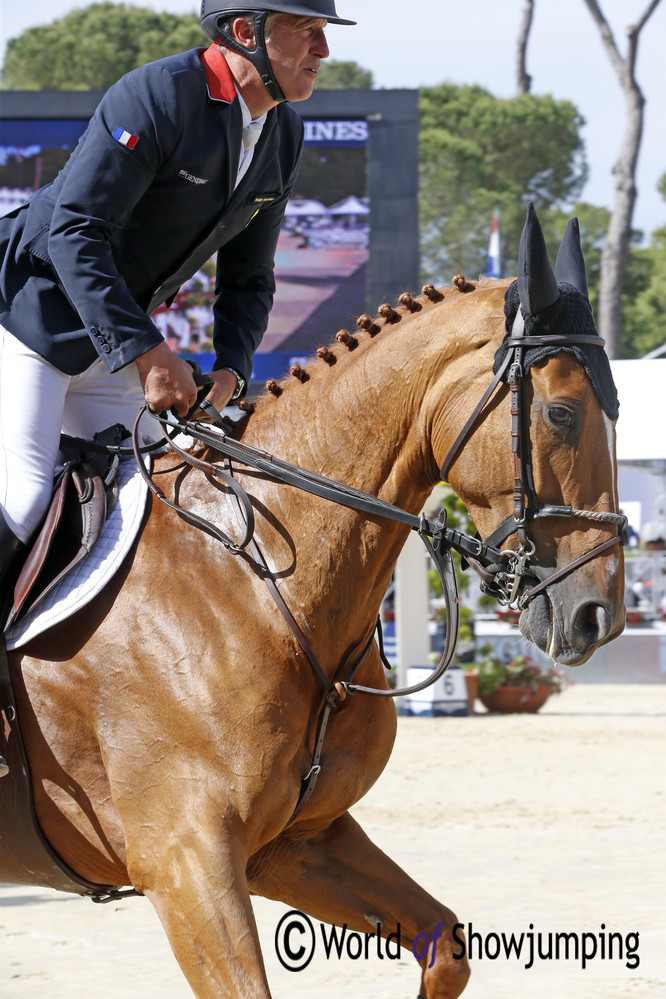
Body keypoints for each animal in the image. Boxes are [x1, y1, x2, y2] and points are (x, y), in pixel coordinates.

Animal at [1, 207, 624, 996]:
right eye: (563, 413)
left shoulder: (294, 842)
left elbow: (445, 944)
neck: (255, 578)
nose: (599, 616)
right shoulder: (185, 861)